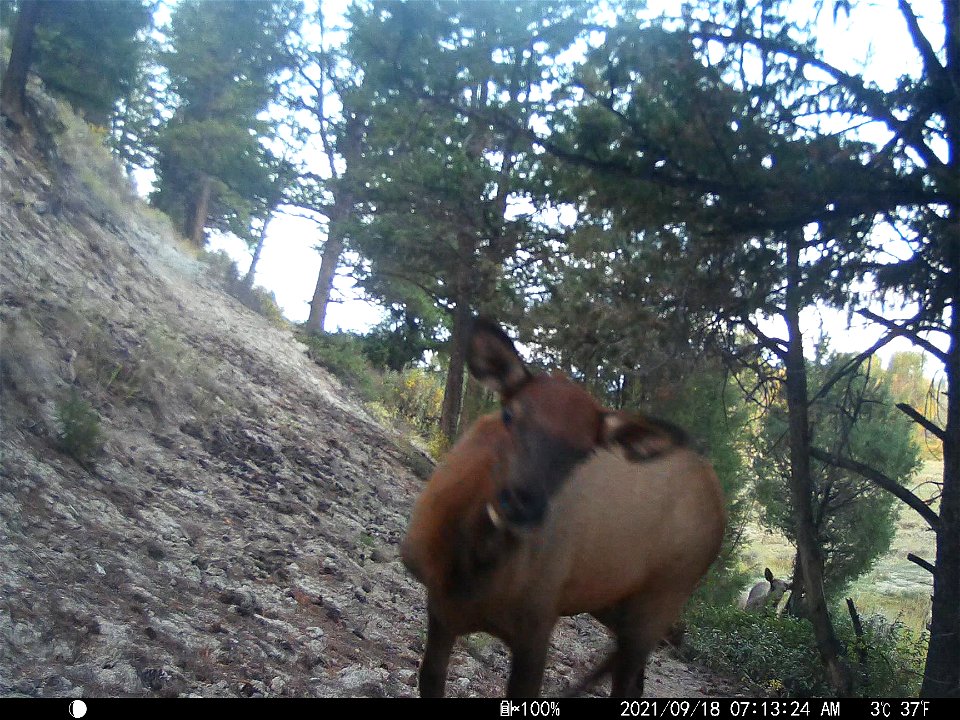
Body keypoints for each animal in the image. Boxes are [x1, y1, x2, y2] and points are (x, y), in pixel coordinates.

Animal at [402, 320, 724, 696]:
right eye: (509, 414)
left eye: (585, 452)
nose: (523, 504)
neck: (468, 567)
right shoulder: (440, 608)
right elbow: (430, 677)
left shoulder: (537, 624)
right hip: (613, 602)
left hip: (661, 602)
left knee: (628, 678)